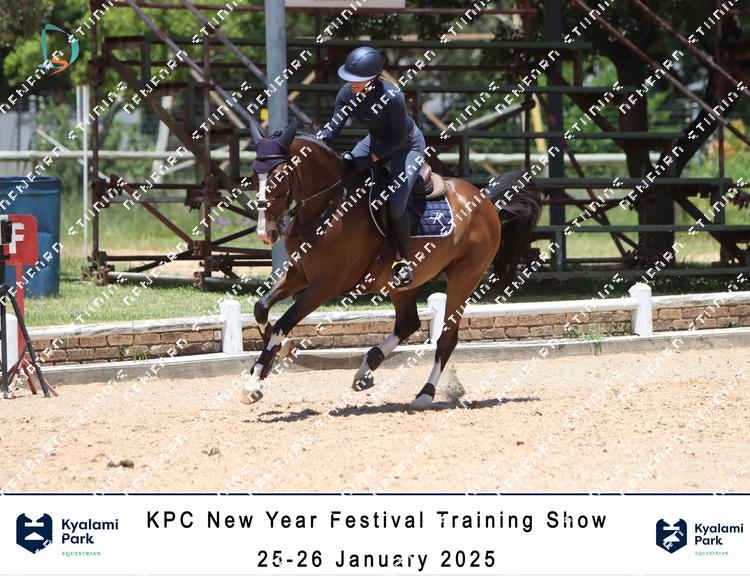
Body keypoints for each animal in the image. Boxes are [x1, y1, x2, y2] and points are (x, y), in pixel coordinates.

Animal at [242, 119, 541, 408]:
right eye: (254, 176)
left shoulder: (326, 284)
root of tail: (484, 200)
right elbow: (261, 309)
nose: (264, 233)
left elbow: (283, 322)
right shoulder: (299, 273)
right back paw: (366, 369)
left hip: (464, 277)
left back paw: (424, 394)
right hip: (402, 283)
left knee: (446, 338)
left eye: (280, 175)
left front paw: (254, 382)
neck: (329, 205)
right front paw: (275, 357)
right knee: (408, 323)